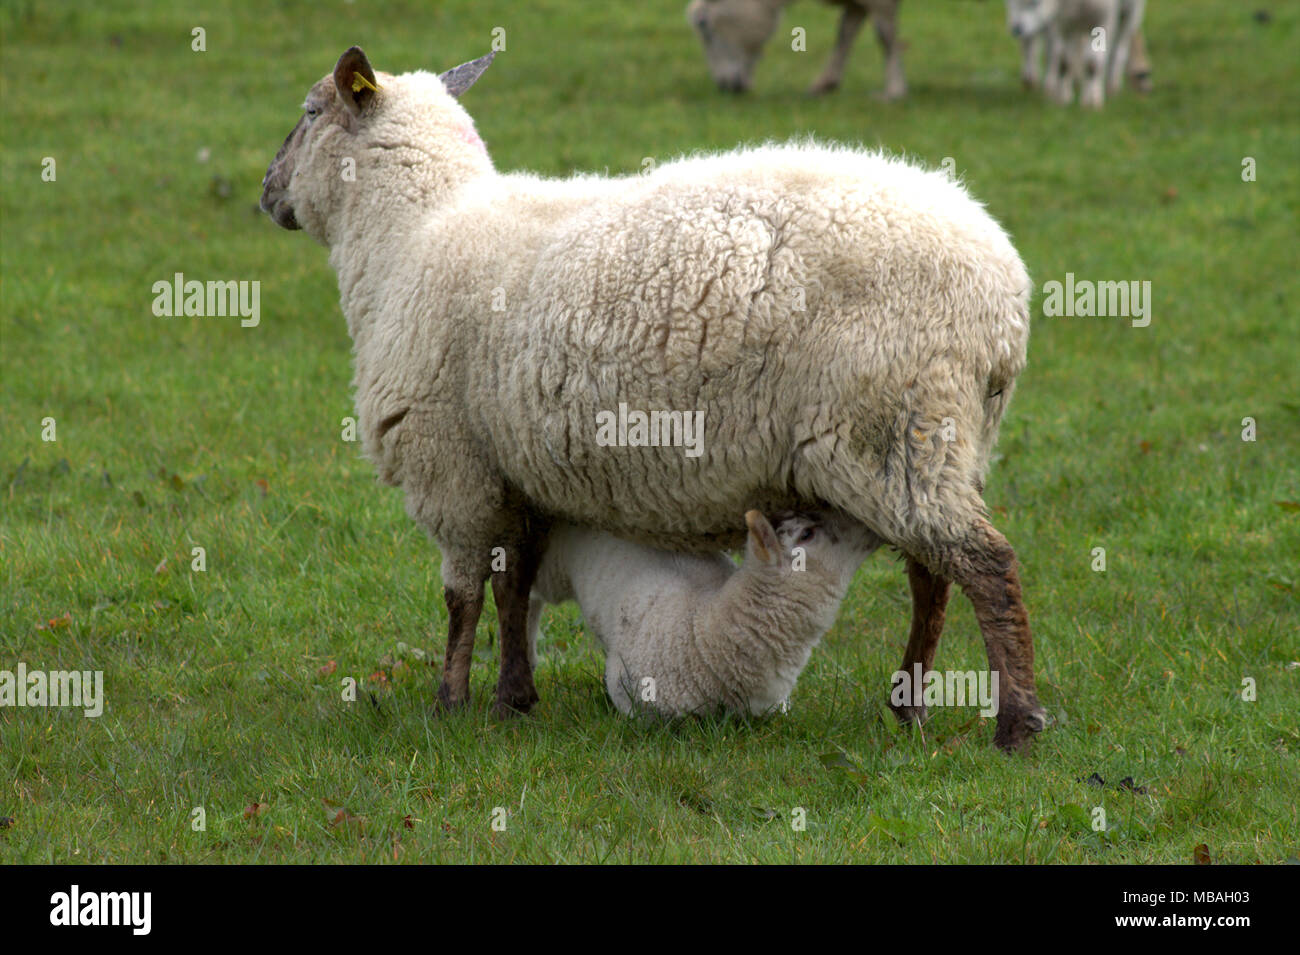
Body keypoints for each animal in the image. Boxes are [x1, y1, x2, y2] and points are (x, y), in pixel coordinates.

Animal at [681, 0, 904, 98]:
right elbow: (846, 31)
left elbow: (885, 36)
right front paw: (826, 82)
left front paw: (893, 91)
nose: (723, 86)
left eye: (703, 25)